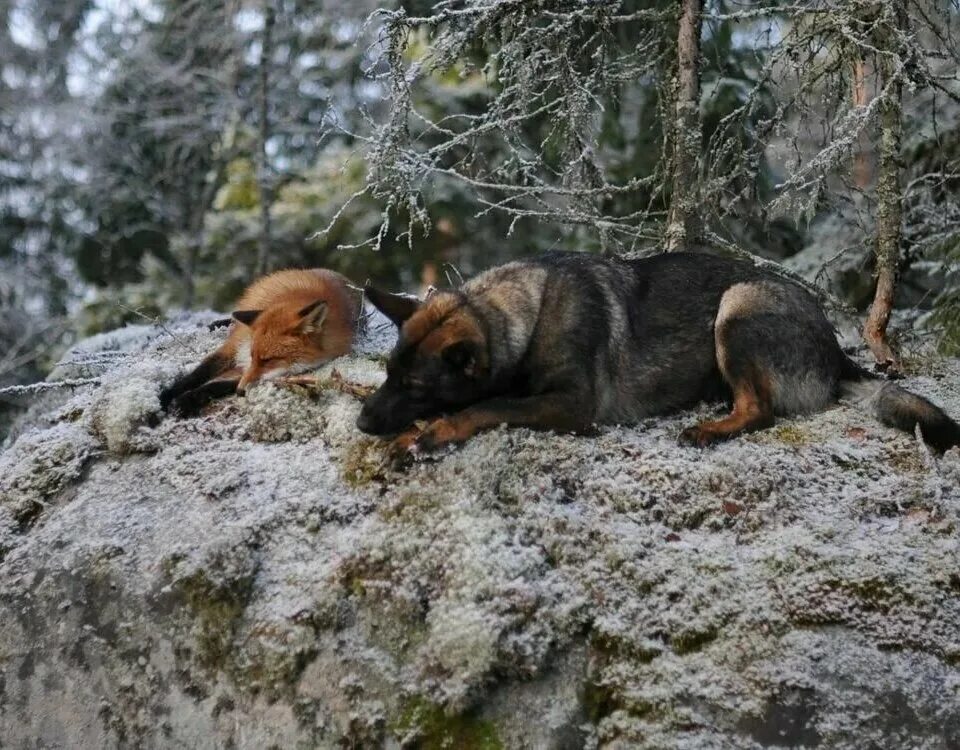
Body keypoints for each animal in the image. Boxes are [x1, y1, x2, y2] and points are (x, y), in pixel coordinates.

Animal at [162, 268, 364, 418]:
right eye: (253, 355)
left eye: (268, 360)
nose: (240, 392)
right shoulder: (235, 346)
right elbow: (197, 374)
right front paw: (167, 395)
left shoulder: (245, 370)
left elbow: (217, 385)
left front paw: (187, 400)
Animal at [354, 251, 960, 458]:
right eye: (388, 375)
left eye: (416, 387)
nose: (361, 424)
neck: (527, 313)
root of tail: (836, 351)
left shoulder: (569, 406)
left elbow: (484, 406)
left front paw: (435, 431)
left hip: (735, 307)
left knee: (760, 411)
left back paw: (710, 429)